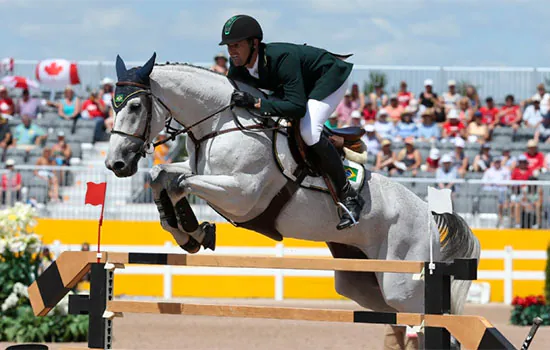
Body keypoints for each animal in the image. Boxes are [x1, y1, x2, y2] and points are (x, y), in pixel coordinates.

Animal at [104, 53, 484, 348]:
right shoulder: (204, 174)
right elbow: (162, 176)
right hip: (365, 283)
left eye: (135, 106)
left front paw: (193, 230)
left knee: (437, 323)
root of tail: (431, 216)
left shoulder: (241, 193)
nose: (115, 164)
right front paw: (186, 232)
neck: (220, 122)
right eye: (112, 106)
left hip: (402, 285)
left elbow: (179, 182)